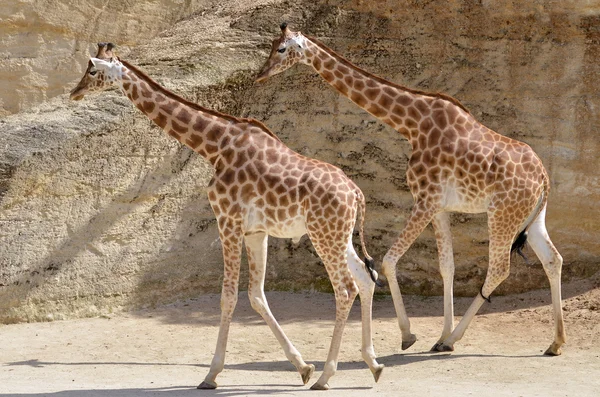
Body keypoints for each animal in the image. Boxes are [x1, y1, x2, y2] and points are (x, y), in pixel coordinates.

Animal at [67, 42, 384, 386]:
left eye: (92, 71)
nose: (74, 92)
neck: (215, 146)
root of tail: (356, 193)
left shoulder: (227, 221)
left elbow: (229, 296)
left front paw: (211, 374)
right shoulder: (256, 231)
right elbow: (256, 295)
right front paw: (302, 366)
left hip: (324, 235)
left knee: (345, 289)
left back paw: (326, 376)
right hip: (339, 236)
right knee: (365, 278)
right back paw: (373, 364)